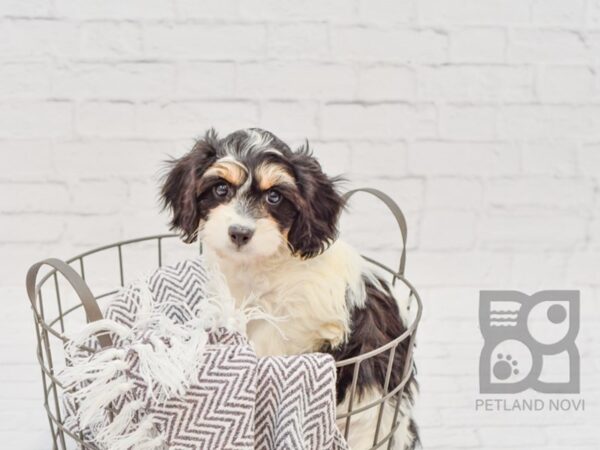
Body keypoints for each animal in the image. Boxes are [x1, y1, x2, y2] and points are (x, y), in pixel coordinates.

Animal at [162, 128, 420, 448]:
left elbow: (268, 343)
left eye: (274, 196)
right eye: (221, 189)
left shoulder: (307, 320)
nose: (240, 233)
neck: (263, 267)